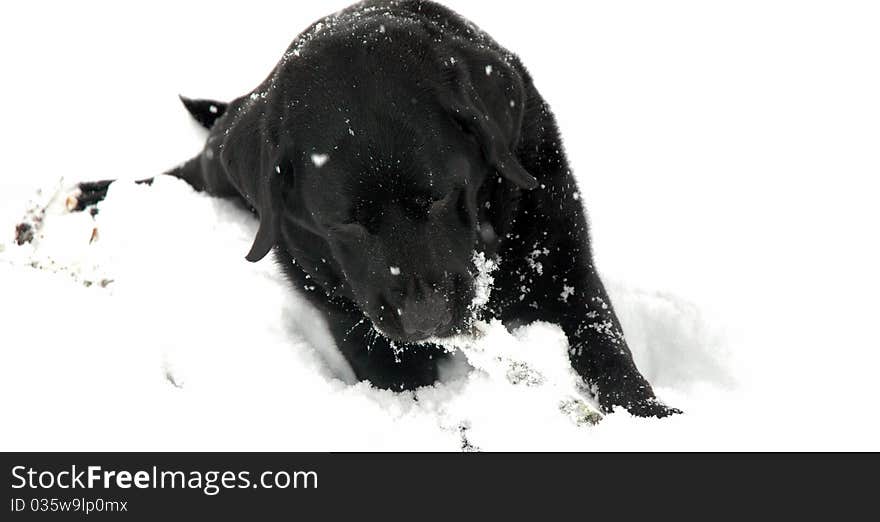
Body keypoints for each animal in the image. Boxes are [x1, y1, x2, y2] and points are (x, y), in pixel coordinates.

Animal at [75, 0, 680, 414]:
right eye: (344, 223)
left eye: (440, 195)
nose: (425, 319)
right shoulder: (361, 331)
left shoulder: (565, 265)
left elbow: (605, 347)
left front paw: (650, 417)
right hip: (220, 166)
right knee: (183, 171)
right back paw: (87, 195)